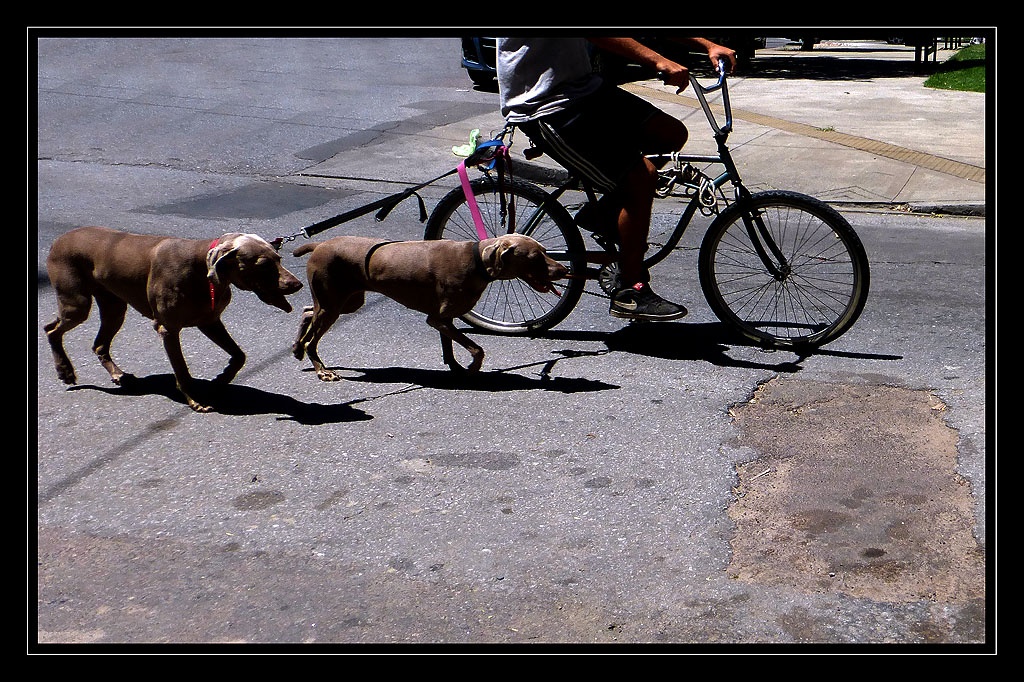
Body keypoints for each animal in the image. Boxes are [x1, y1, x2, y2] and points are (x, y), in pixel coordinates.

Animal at [46, 225, 301, 411]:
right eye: (264, 264)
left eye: (279, 258)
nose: (297, 285)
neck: (201, 269)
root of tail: (59, 239)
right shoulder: (168, 328)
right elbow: (182, 370)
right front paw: (196, 400)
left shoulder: (209, 321)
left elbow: (239, 356)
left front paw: (220, 380)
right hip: (77, 303)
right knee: (51, 329)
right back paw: (65, 370)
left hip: (114, 307)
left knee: (98, 344)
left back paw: (117, 374)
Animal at [292, 231, 573, 374]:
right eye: (535, 258)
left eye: (545, 252)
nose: (564, 270)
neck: (477, 263)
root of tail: (320, 244)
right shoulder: (438, 318)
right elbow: (477, 349)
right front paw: (472, 368)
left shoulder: (444, 318)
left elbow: (450, 346)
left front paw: (455, 367)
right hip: (333, 302)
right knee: (312, 338)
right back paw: (321, 369)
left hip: (346, 301)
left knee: (307, 312)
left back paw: (296, 349)